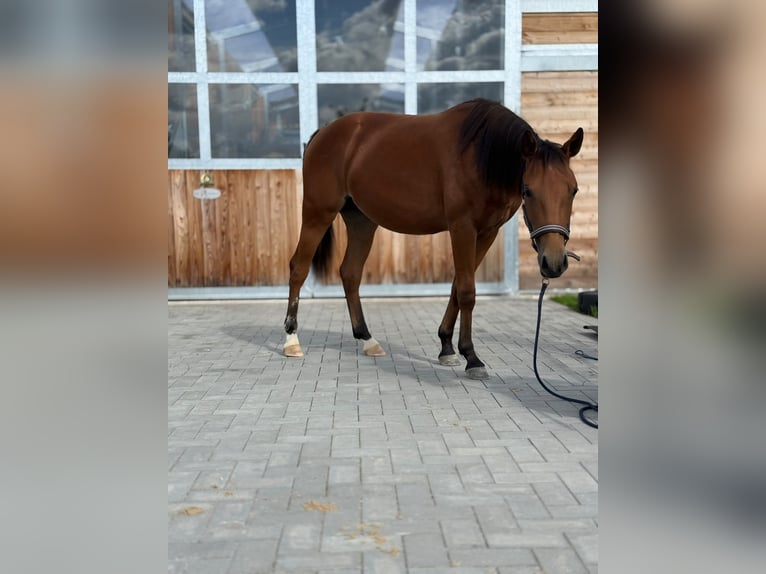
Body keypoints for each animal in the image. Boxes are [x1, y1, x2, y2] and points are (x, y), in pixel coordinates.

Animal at [283, 98, 583, 379]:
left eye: (574, 190)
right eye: (528, 190)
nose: (553, 263)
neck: (480, 156)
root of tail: (323, 133)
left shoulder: (487, 231)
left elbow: (457, 287)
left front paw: (447, 347)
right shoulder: (462, 228)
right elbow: (467, 291)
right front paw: (472, 357)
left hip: (362, 221)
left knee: (350, 273)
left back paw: (367, 339)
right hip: (317, 213)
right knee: (298, 268)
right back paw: (291, 340)